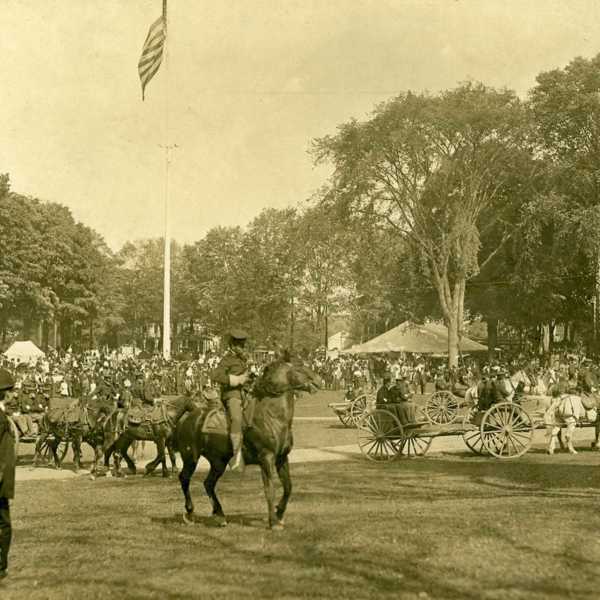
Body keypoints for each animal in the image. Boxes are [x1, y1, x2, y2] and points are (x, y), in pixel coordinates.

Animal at [173, 358, 324, 528]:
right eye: (298, 368)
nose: (319, 380)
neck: (272, 417)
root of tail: (187, 416)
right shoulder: (267, 458)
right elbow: (269, 489)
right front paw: (273, 521)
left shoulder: (282, 458)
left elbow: (288, 487)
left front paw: (279, 513)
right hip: (191, 457)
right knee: (185, 478)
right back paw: (190, 512)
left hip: (218, 462)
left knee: (208, 484)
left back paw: (220, 515)